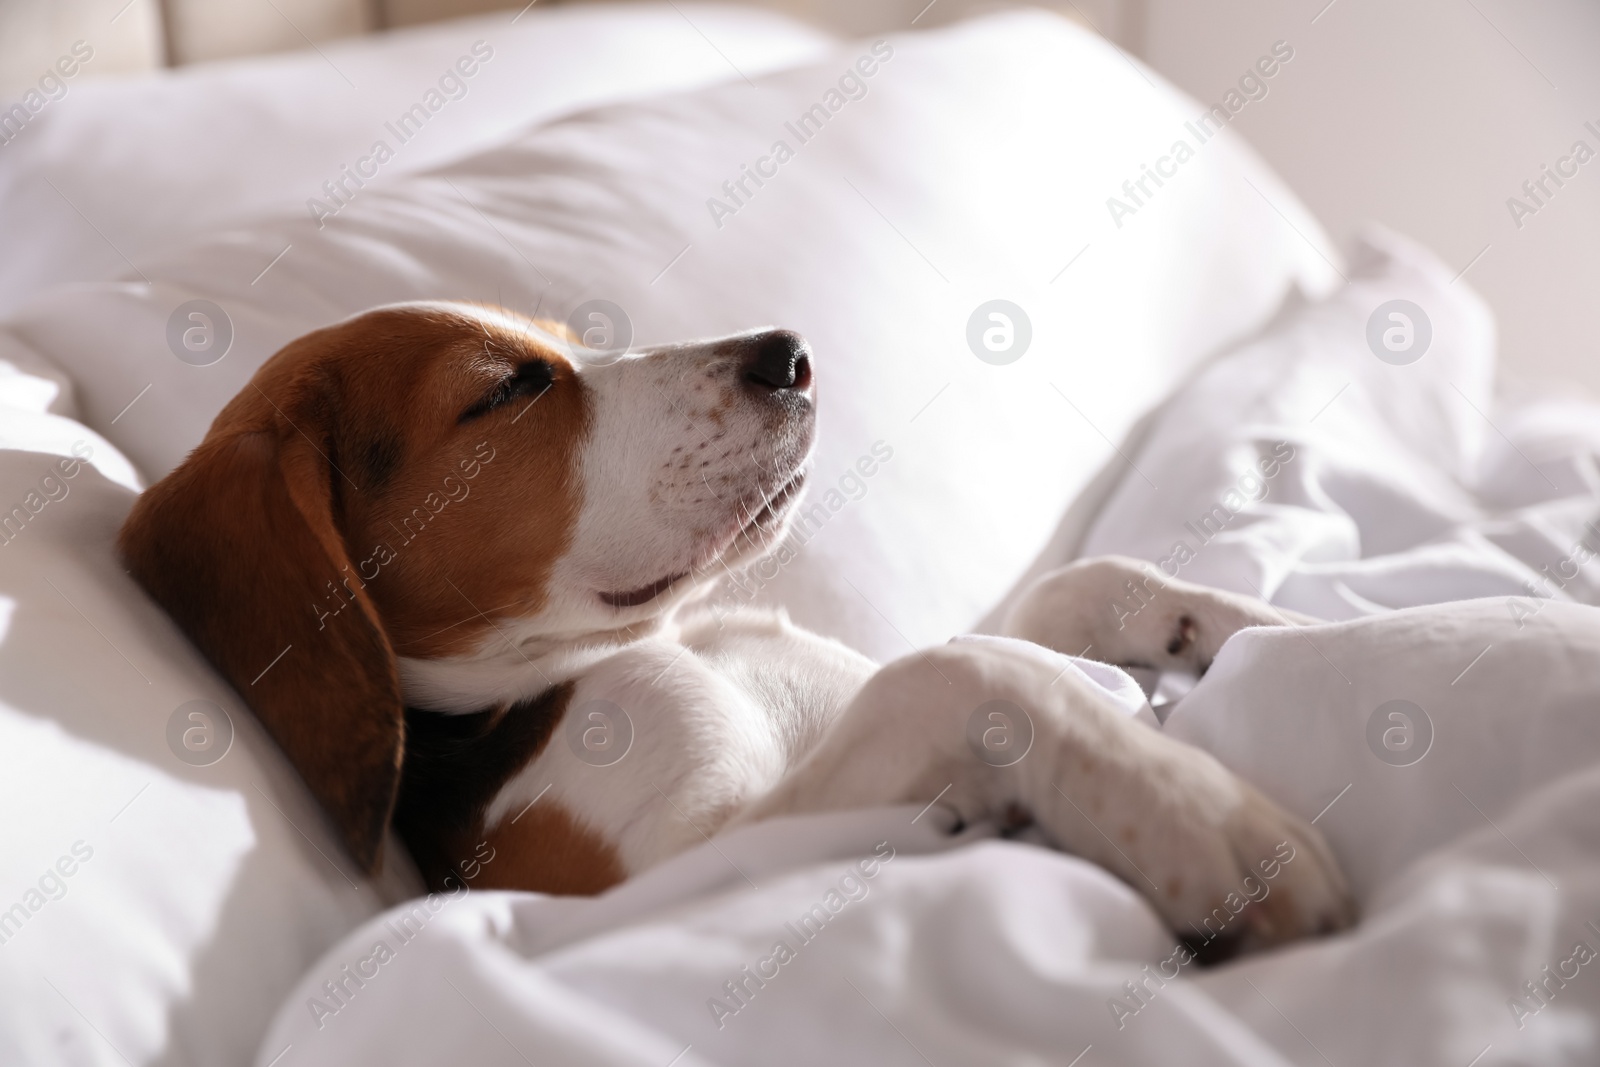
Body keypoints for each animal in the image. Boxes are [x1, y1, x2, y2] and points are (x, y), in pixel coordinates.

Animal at [118, 303, 1356, 953]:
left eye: (564, 342)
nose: (788, 351)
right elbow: (951, 669)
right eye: (507, 388)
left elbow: (1060, 594)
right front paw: (1197, 809)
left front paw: (1248, 624)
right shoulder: (673, 874)